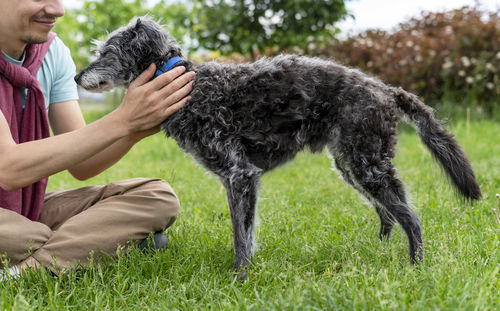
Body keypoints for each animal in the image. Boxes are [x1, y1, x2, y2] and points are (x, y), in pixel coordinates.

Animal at [74, 17, 480, 276]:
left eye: (107, 52)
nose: (77, 77)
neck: (188, 85)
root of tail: (386, 90)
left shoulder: (240, 175)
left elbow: (242, 235)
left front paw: (239, 277)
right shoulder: (237, 181)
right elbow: (245, 231)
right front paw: (244, 272)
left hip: (366, 164)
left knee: (410, 216)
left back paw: (415, 266)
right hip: (354, 165)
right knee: (390, 214)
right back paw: (382, 251)